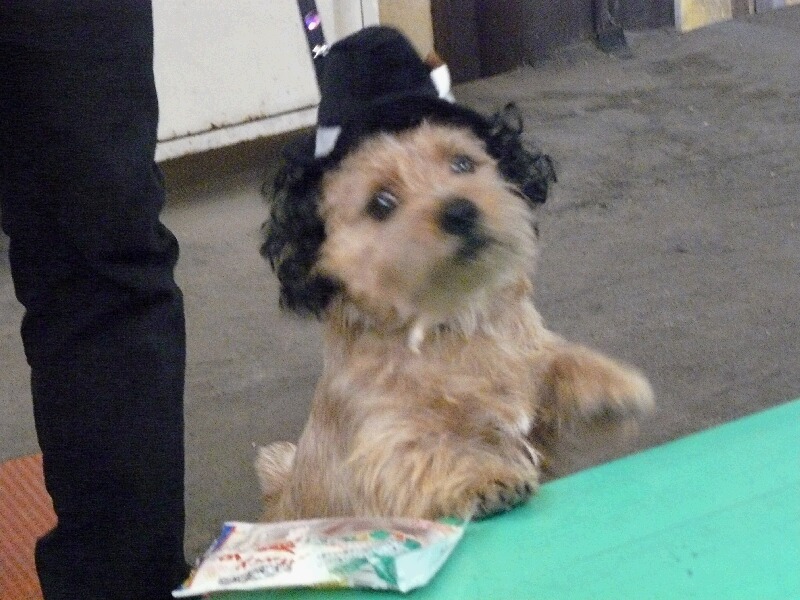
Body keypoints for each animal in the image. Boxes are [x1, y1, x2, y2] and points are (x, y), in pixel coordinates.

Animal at [256, 26, 654, 522]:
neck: (453, 321)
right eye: (381, 202)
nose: (460, 211)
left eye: (462, 163)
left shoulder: (532, 367)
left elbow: (556, 361)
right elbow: (431, 451)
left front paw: (608, 385)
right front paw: (485, 476)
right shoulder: (383, 442)